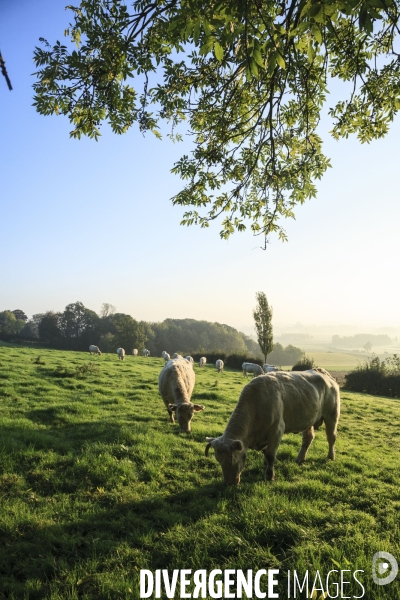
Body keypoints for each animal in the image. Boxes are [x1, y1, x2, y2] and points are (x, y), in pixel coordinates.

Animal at [206, 368, 340, 486]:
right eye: (219, 460)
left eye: (232, 461)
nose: (228, 483)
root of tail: (324, 373)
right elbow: (266, 453)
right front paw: (265, 467)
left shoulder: (276, 430)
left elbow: (270, 455)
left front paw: (269, 475)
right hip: (309, 420)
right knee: (308, 439)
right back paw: (300, 459)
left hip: (332, 416)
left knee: (331, 438)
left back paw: (330, 457)